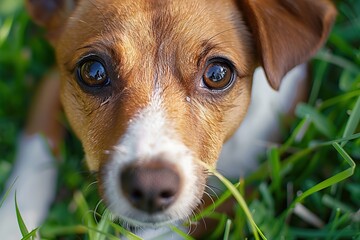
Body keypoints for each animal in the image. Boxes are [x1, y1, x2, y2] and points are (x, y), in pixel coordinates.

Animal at [0, 0, 338, 238]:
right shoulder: (50, 84)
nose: (150, 186)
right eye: (93, 71)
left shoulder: (247, 183)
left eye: (218, 74)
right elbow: (32, 163)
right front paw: (12, 226)